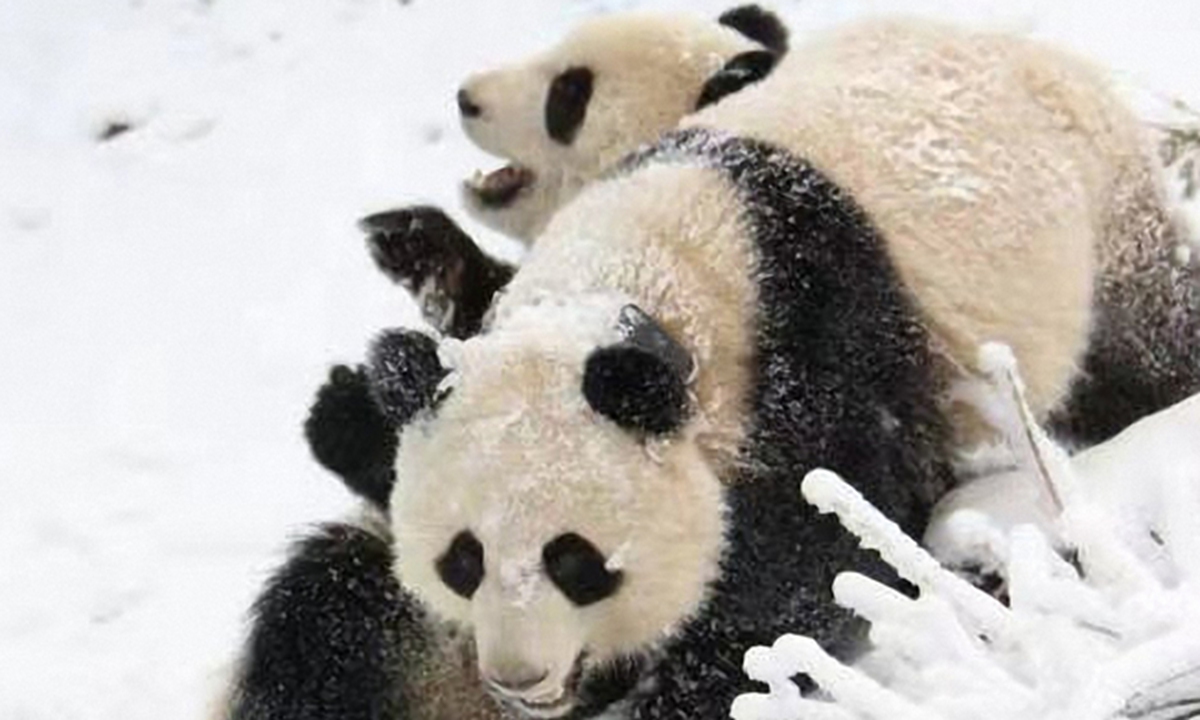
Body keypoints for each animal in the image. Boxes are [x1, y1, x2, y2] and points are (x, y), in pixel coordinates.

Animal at [218, 14, 1200, 720]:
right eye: (462, 560)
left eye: (575, 560)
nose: (521, 678)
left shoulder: (813, 356)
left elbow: (815, 559)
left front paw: (685, 686)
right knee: (327, 618)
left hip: (1109, 229)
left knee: (1144, 353)